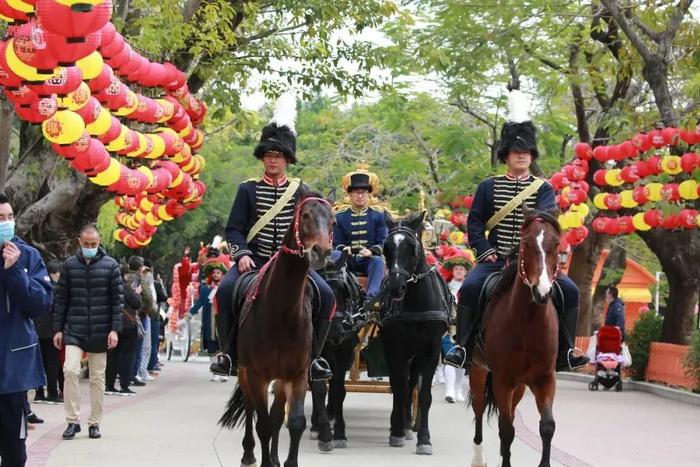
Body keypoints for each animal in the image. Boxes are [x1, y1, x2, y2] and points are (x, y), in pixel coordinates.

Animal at [220, 191, 338, 467]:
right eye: (305, 215)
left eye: (333, 221)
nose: (321, 252)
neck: (282, 312)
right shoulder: (256, 375)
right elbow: (262, 424)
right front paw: (261, 459)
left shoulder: (297, 375)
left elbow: (294, 423)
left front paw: (285, 461)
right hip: (245, 373)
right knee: (251, 409)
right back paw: (249, 454)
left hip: (282, 380)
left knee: (275, 415)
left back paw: (273, 456)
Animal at [312, 252, 366, 454]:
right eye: (322, 293)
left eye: (344, 291)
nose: (335, 331)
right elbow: (318, 389)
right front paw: (324, 434)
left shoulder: (344, 351)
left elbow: (338, 390)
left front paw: (340, 433)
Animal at [380, 212, 452, 458]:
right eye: (386, 248)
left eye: (412, 247)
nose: (396, 287)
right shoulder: (396, 350)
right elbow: (399, 389)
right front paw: (396, 432)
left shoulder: (430, 352)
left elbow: (424, 396)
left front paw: (424, 438)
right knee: (402, 385)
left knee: (413, 384)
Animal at [470, 211, 564, 467]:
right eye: (526, 244)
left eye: (556, 245)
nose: (542, 291)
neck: (528, 323)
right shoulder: (502, 380)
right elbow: (506, 429)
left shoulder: (545, 379)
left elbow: (548, 426)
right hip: (478, 371)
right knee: (480, 411)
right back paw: (478, 458)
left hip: (520, 387)